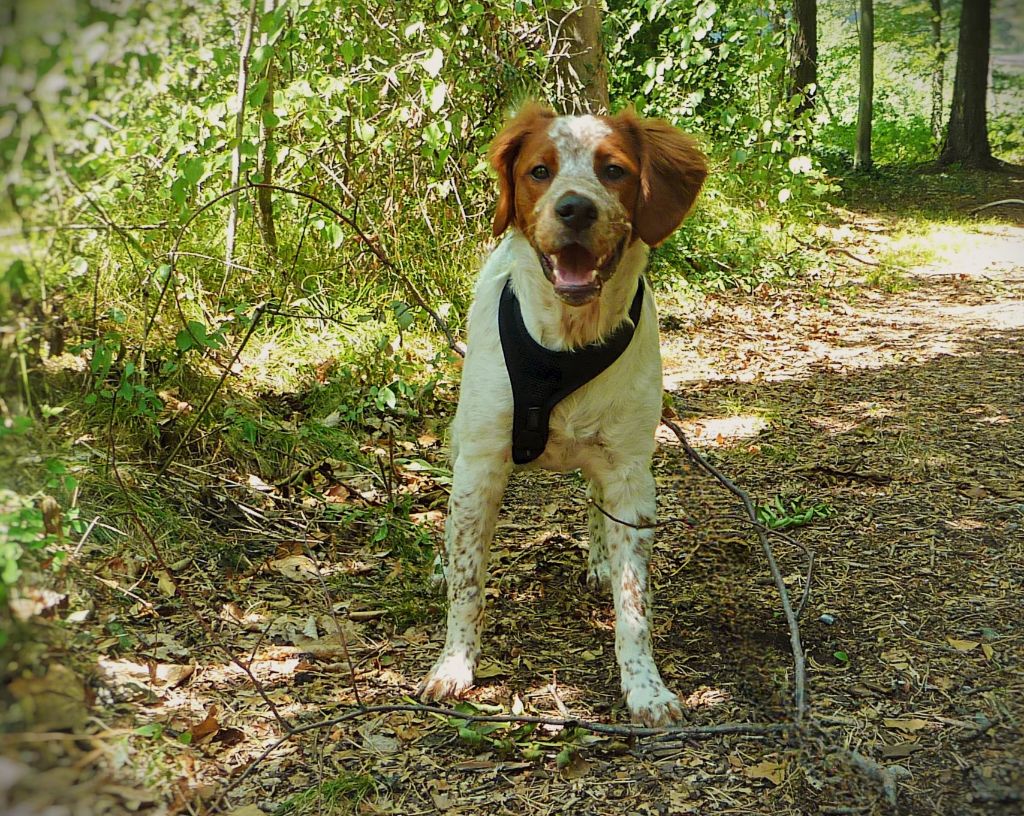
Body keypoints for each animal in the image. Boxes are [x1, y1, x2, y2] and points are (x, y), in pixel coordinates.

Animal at [419, 103, 708, 724]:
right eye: (539, 171)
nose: (575, 207)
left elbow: (634, 600)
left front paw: (646, 688)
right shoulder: (480, 467)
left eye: (615, 170)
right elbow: (468, 580)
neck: (567, 346)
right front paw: (454, 665)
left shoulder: (631, 474)